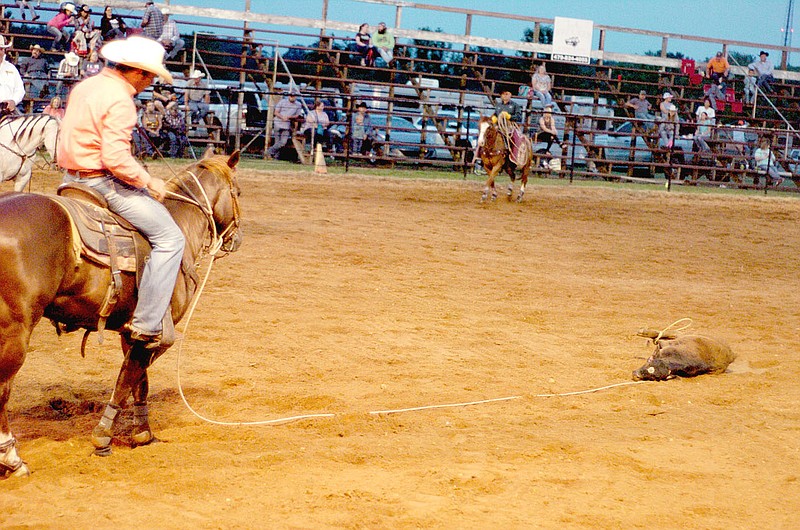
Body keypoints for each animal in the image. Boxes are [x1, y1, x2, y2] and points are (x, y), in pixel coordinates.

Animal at [0, 151, 244, 476]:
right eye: (237, 192)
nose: (237, 238)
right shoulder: (154, 332)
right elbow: (127, 379)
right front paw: (103, 437)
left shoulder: (134, 332)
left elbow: (139, 382)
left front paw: (143, 434)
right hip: (14, 330)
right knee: (2, 388)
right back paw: (12, 459)